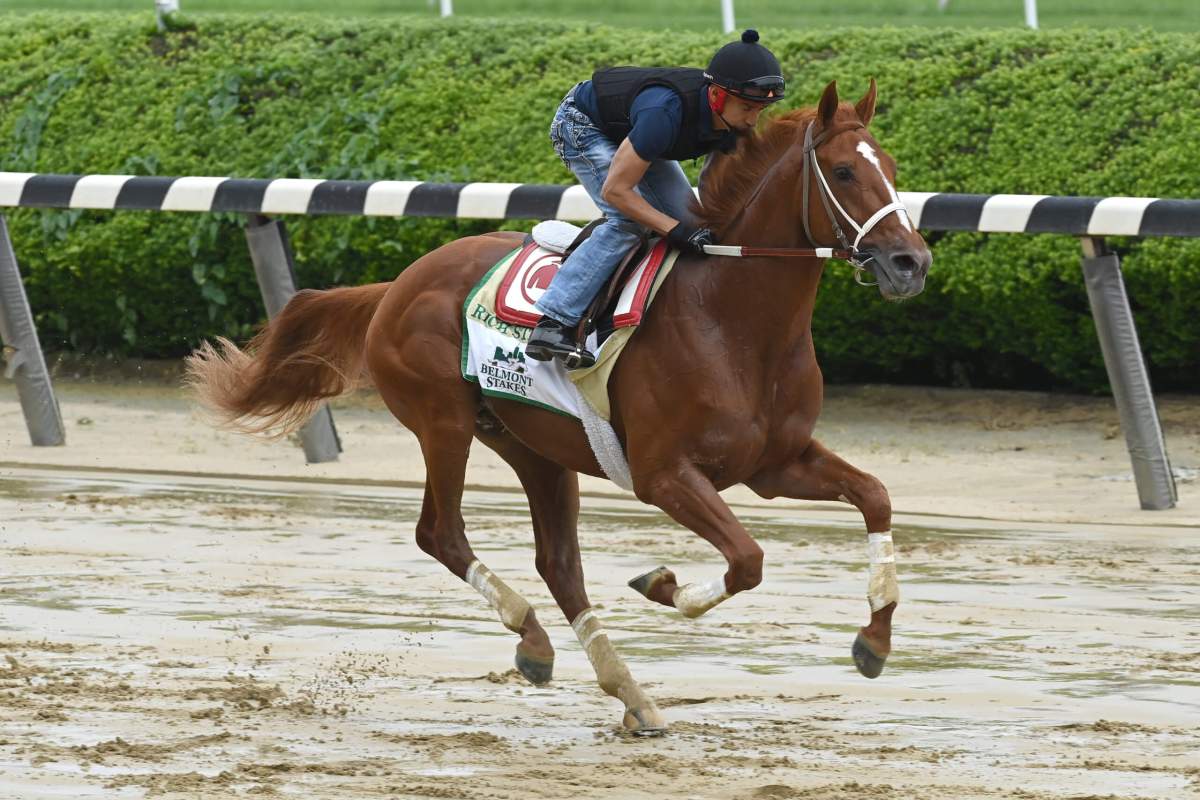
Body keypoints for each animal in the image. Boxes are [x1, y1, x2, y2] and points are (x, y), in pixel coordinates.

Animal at [189, 81, 936, 734]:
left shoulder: (775, 464)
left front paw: (874, 640)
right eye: (844, 170)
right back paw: (536, 641)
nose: (910, 262)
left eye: (893, 168)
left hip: (535, 447)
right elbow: (748, 559)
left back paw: (631, 695)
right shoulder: (664, 475)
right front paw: (662, 583)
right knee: (442, 534)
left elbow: (875, 496)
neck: (733, 318)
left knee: (559, 566)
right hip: (444, 421)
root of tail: (399, 283)